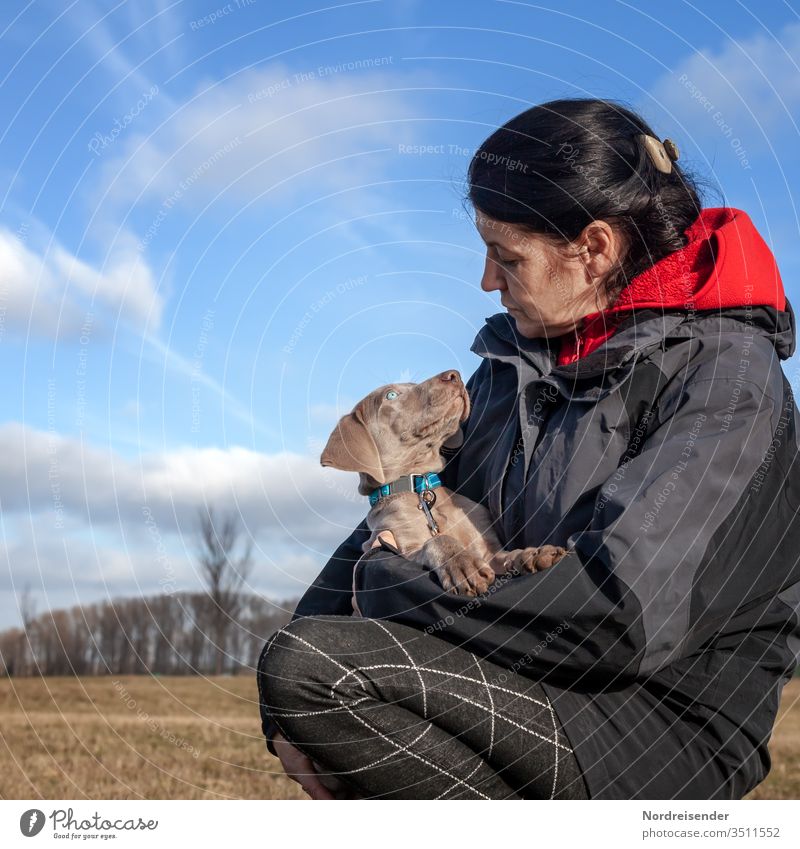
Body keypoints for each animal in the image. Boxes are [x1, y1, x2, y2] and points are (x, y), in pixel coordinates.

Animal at [316, 372, 564, 596]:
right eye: (391, 395)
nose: (454, 375)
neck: (421, 488)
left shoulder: (490, 552)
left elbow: (509, 555)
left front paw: (533, 553)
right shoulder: (400, 546)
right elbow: (437, 540)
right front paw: (461, 563)